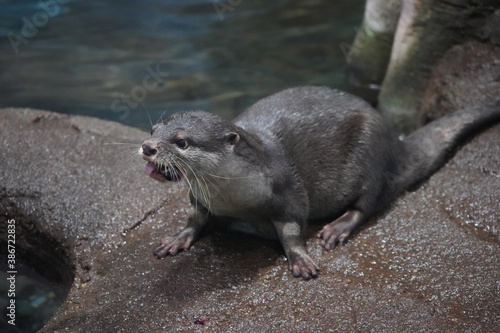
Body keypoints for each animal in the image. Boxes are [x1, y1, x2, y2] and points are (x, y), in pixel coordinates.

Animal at [141, 85, 500, 278]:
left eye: (182, 141)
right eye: (153, 130)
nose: (147, 147)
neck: (233, 198)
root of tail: (395, 145)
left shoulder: (288, 191)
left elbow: (292, 229)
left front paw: (300, 259)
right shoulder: (201, 198)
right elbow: (195, 219)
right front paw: (178, 239)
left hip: (371, 156)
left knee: (370, 202)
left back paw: (337, 228)